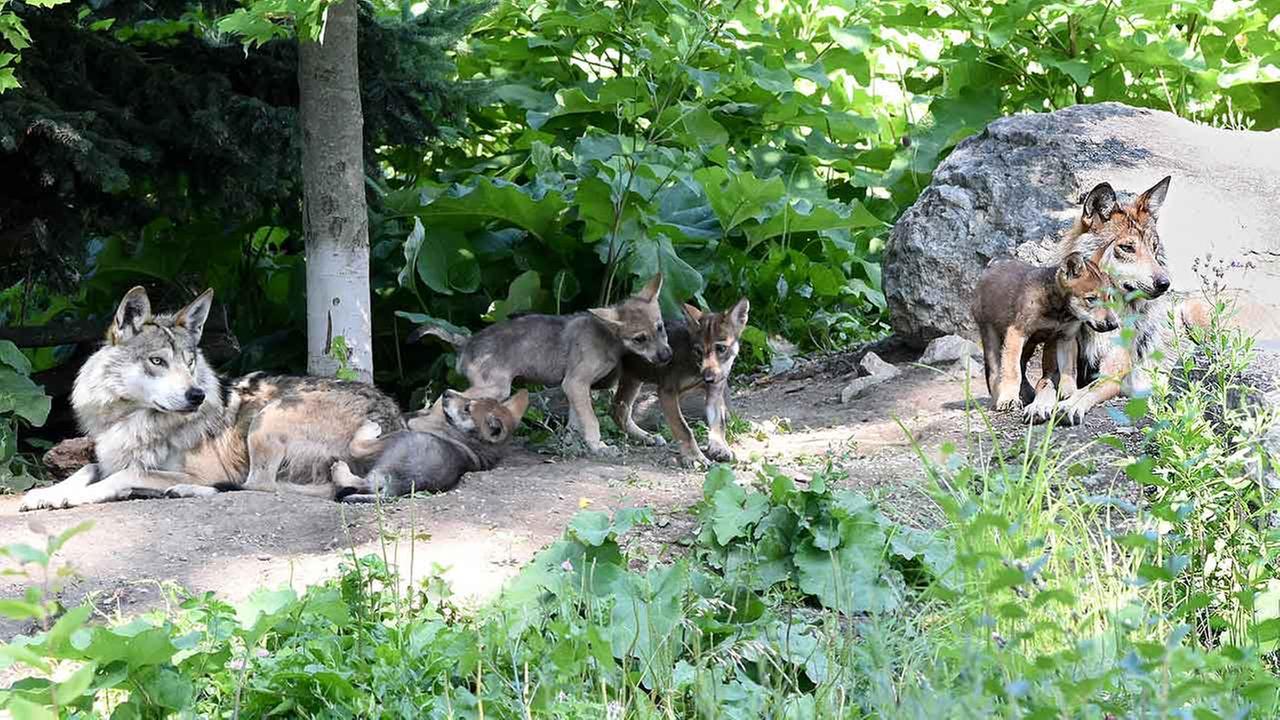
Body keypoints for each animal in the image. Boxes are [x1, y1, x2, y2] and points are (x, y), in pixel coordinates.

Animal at [335, 386, 529, 499]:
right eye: (473, 400)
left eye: (467, 409)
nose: (446, 392)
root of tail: (396, 487)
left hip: (401, 438)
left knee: (357, 451)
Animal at [409, 272, 675, 453]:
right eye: (639, 339)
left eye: (660, 327)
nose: (667, 356)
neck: (608, 337)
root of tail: (466, 341)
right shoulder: (575, 383)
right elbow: (591, 419)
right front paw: (598, 446)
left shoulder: (575, 388)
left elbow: (576, 422)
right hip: (494, 389)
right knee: (440, 401)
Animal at [609, 297, 747, 466]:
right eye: (698, 351)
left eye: (721, 348)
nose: (708, 378)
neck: (694, 366)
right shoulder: (667, 392)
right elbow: (684, 429)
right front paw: (695, 457)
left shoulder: (714, 394)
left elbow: (719, 424)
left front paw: (720, 448)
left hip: (634, 378)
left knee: (619, 411)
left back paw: (647, 437)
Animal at [967, 249, 1121, 412]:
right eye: (1091, 299)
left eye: (1109, 297)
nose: (1114, 324)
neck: (1060, 312)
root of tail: (992, 264)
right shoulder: (1017, 333)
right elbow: (1012, 371)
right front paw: (1008, 398)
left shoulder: (1065, 337)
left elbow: (1068, 369)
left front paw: (1070, 392)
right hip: (991, 336)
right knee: (995, 371)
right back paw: (999, 398)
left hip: (1029, 345)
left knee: (1022, 366)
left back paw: (1027, 394)